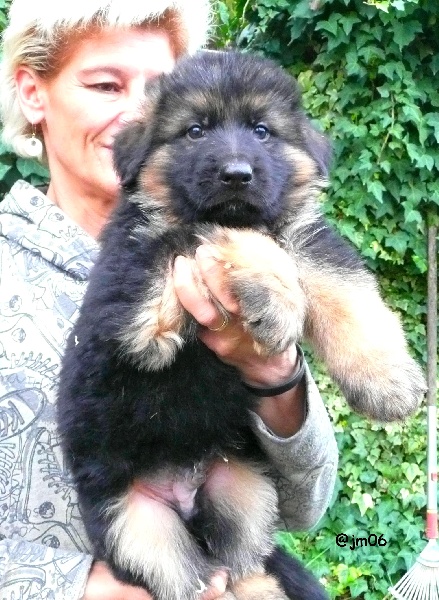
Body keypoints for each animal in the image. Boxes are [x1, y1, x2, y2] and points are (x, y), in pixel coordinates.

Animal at [58, 51, 426, 600]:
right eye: (194, 131)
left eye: (261, 130)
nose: (236, 175)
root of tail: (183, 488)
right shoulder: (132, 287)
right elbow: (218, 231)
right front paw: (278, 297)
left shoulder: (308, 241)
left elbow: (347, 292)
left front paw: (388, 382)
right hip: (137, 526)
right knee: (193, 580)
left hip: (243, 488)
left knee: (241, 564)